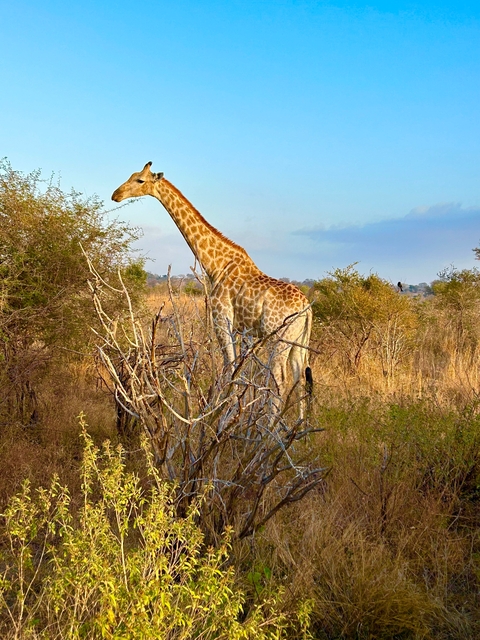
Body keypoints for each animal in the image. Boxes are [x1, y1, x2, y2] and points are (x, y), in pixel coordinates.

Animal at [112, 162, 312, 409]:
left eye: (139, 180)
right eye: (131, 175)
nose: (115, 195)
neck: (216, 265)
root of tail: (306, 308)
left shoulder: (221, 318)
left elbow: (230, 369)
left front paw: (223, 413)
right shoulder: (240, 328)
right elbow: (237, 371)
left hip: (278, 339)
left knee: (280, 382)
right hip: (299, 342)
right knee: (300, 380)